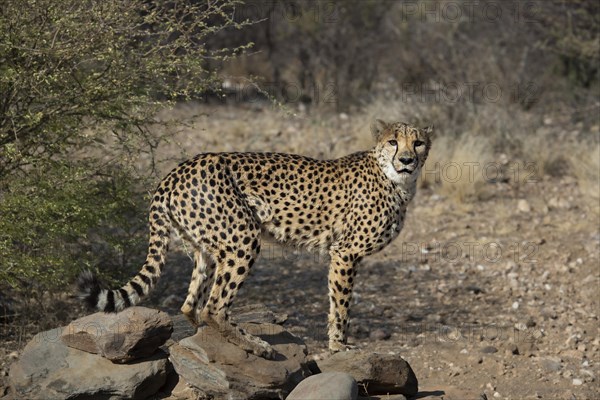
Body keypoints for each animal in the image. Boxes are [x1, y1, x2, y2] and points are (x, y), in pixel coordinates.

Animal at [79, 120, 434, 358]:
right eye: (393, 142)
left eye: (418, 143)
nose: (406, 160)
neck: (396, 180)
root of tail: (176, 171)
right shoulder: (345, 252)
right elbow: (341, 305)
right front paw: (339, 345)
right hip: (242, 239)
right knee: (213, 307)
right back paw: (256, 345)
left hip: (207, 248)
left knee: (191, 304)